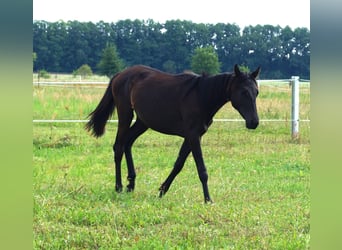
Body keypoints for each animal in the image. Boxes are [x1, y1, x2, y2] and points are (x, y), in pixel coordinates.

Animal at [85, 64, 260, 203]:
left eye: (256, 92)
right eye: (244, 92)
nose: (254, 122)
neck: (201, 96)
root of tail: (120, 75)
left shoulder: (192, 136)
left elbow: (178, 164)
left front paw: (162, 190)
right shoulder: (193, 136)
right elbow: (201, 169)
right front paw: (208, 199)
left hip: (143, 121)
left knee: (128, 142)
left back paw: (131, 184)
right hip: (125, 114)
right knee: (119, 146)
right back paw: (119, 186)